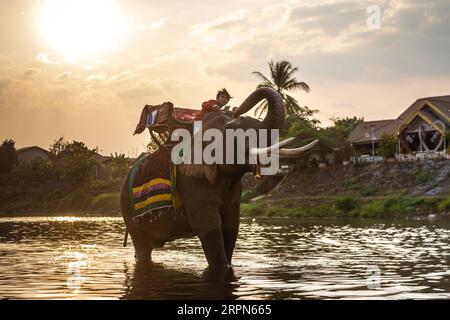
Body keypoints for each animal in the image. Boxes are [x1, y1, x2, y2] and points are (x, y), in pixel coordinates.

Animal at [119, 88, 316, 272]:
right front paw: (222, 268)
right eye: (233, 129)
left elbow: (231, 226)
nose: (235, 108)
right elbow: (209, 226)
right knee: (142, 246)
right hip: (128, 210)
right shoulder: (190, 180)